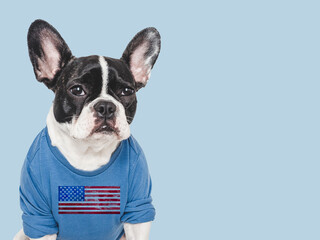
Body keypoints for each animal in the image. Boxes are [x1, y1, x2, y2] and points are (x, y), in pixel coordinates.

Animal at [14, 19, 161, 240]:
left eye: (127, 91)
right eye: (77, 90)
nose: (106, 107)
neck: (89, 152)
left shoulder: (138, 211)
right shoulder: (39, 218)